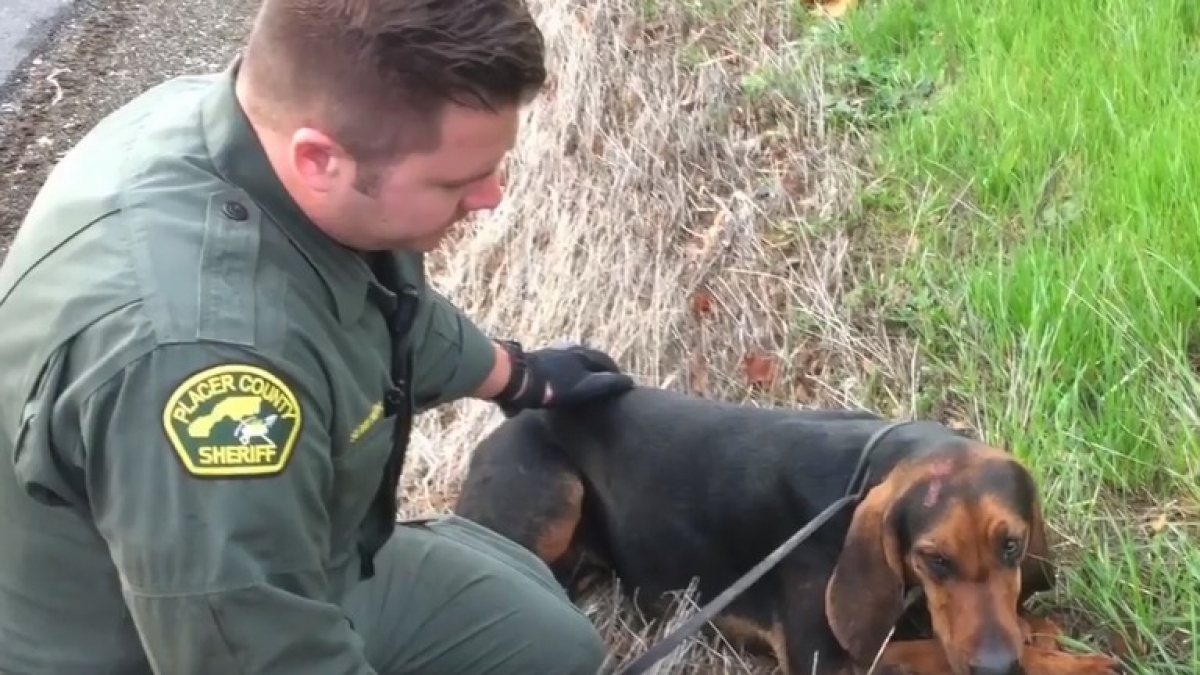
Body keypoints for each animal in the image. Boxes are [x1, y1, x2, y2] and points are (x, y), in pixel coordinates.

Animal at [451, 384, 1123, 672]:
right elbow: (931, 653)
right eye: (934, 559)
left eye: (1012, 546)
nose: (996, 666)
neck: (861, 472)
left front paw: (1041, 635)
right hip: (548, 497)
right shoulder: (827, 663)